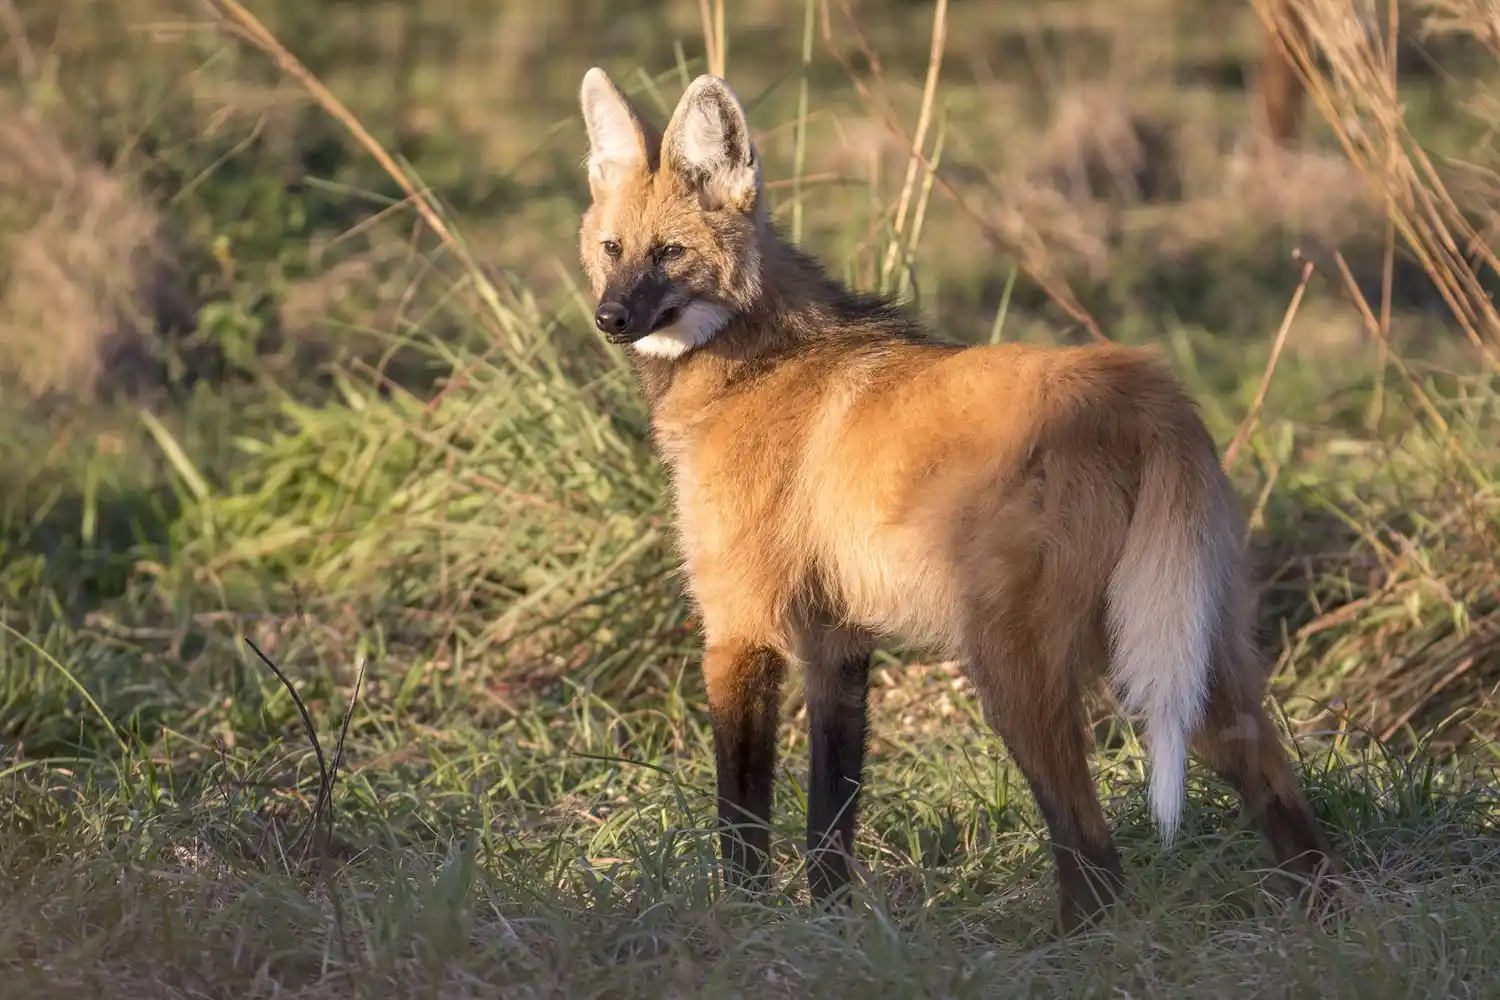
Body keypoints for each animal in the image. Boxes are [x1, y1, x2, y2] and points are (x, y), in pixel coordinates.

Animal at [575, 66, 1341, 933]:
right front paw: (836, 928)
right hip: (1182, 644)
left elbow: (742, 827)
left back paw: (1061, 942)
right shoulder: (837, 644)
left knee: (1095, 853)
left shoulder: (740, 631)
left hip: (1011, 666)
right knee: (1277, 790)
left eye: (670, 252)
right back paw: (1326, 918)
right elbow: (829, 824)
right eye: (612, 249)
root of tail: (1148, 390)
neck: (755, 362)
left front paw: (741, 924)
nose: (611, 318)